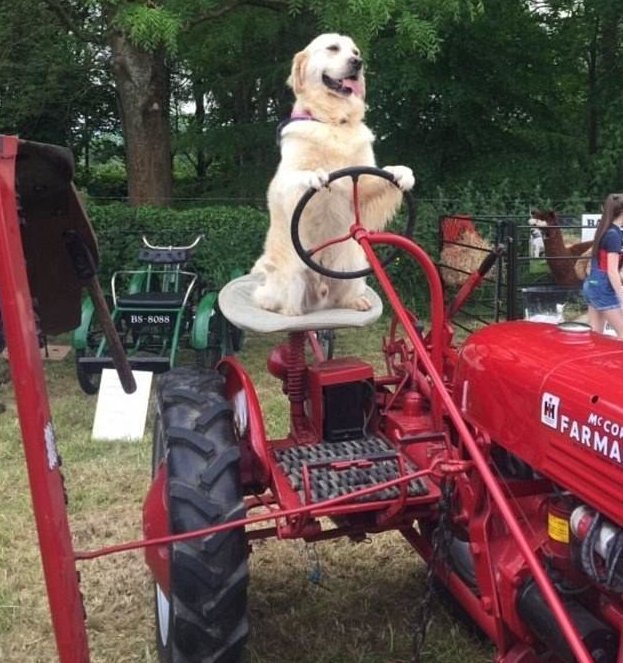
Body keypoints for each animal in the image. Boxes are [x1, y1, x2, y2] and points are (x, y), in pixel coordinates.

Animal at [251, 32, 416, 318]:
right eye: (332, 48)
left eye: (355, 51)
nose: (357, 63)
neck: (333, 122)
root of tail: (321, 289)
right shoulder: (285, 182)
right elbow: (299, 176)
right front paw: (315, 176)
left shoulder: (363, 179)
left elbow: (381, 175)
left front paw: (402, 173)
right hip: (292, 276)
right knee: (281, 305)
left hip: (355, 267)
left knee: (341, 297)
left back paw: (356, 301)